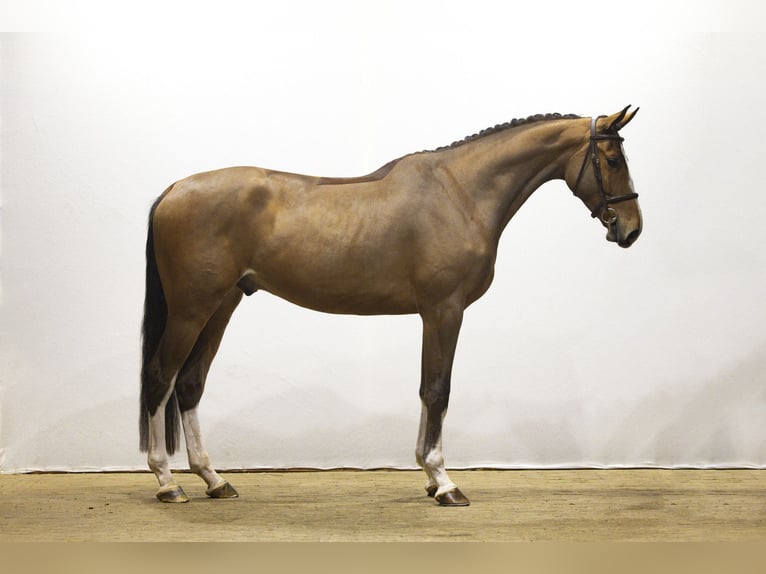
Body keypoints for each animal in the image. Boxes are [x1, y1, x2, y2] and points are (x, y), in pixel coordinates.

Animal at [140, 106, 642, 506]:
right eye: (613, 159)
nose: (631, 229)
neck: (461, 192)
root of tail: (175, 189)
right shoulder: (445, 310)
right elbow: (438, 389)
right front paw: (444, 482)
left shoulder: (432, 314)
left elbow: (425, 388)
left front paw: (428, 476)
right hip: (191, 310)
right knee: (161, 378)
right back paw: (168, 483)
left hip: (221, 305)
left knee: (190, 383)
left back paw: (214, 480)